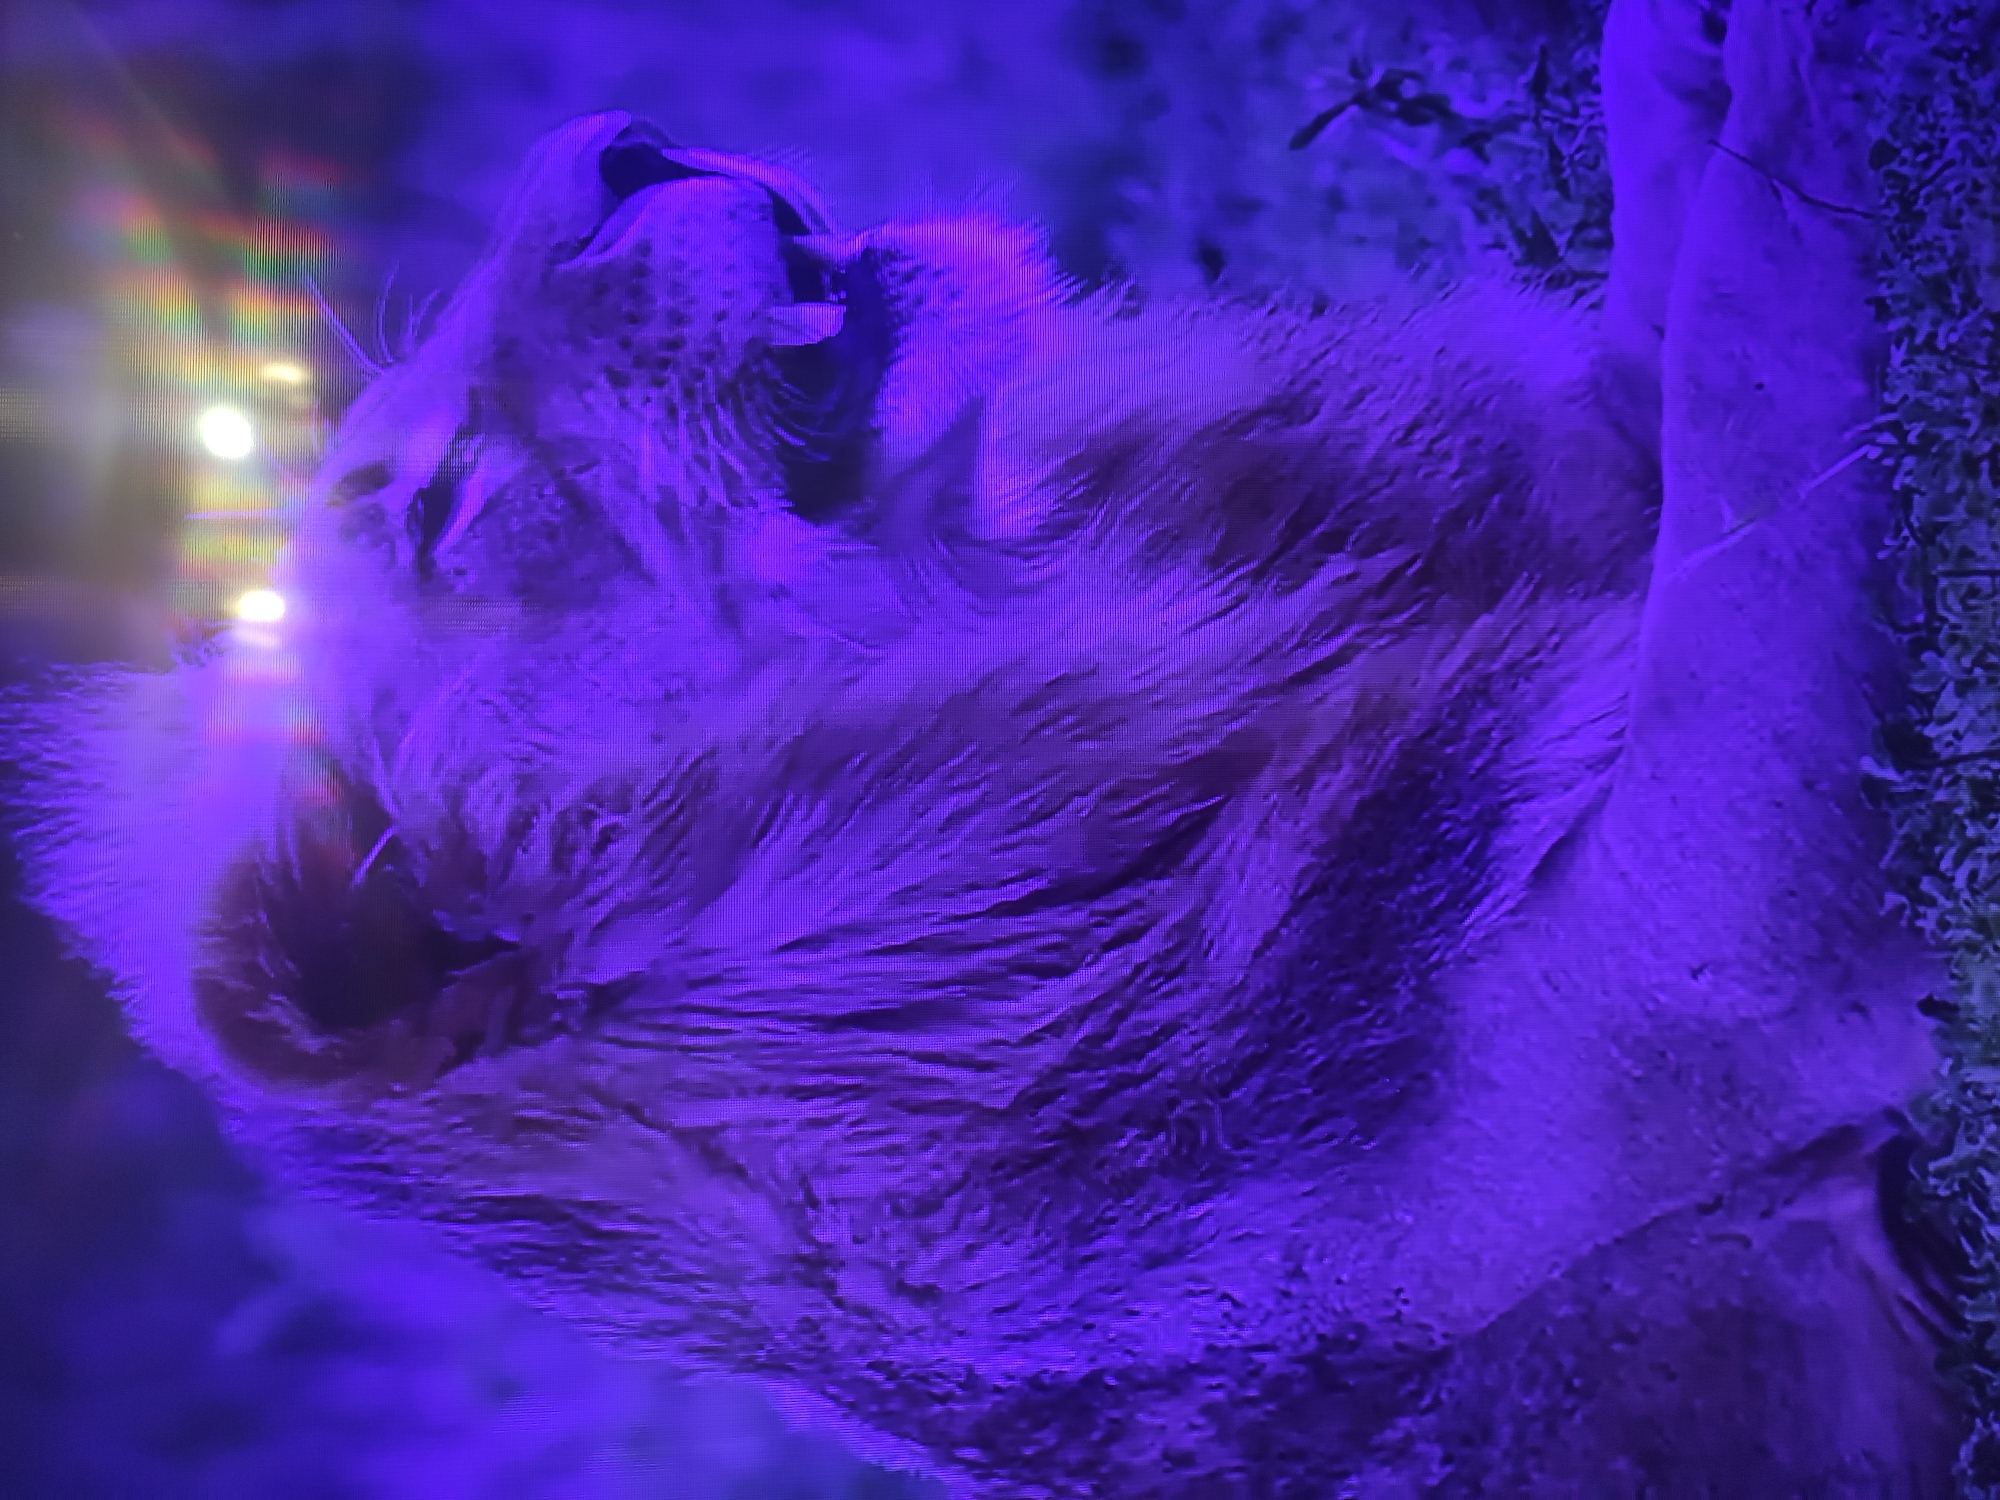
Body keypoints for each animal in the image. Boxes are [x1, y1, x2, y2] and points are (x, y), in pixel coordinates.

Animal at [3, 0, 1969, 1492]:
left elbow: (1670, 299)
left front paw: (1685, 54)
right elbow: (1754, 390)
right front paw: (1809, 80)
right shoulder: (1718, 965)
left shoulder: (1583, 484)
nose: (614, 146)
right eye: (443, 507)